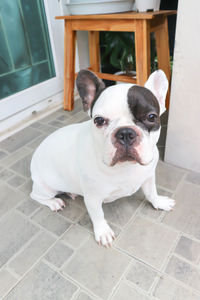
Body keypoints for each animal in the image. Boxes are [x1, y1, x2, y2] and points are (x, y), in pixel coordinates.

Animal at [30, 69, 175, 246]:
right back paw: (53, 202)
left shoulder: (148, 177)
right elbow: (98, 215)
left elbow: (151, 192)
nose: (125, 133)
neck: (125, 167)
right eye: (99, 120)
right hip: (46, 187)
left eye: (152, 117)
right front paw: (103, 232)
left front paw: (159, 202)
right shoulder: (93, 198)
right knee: (36, 196)